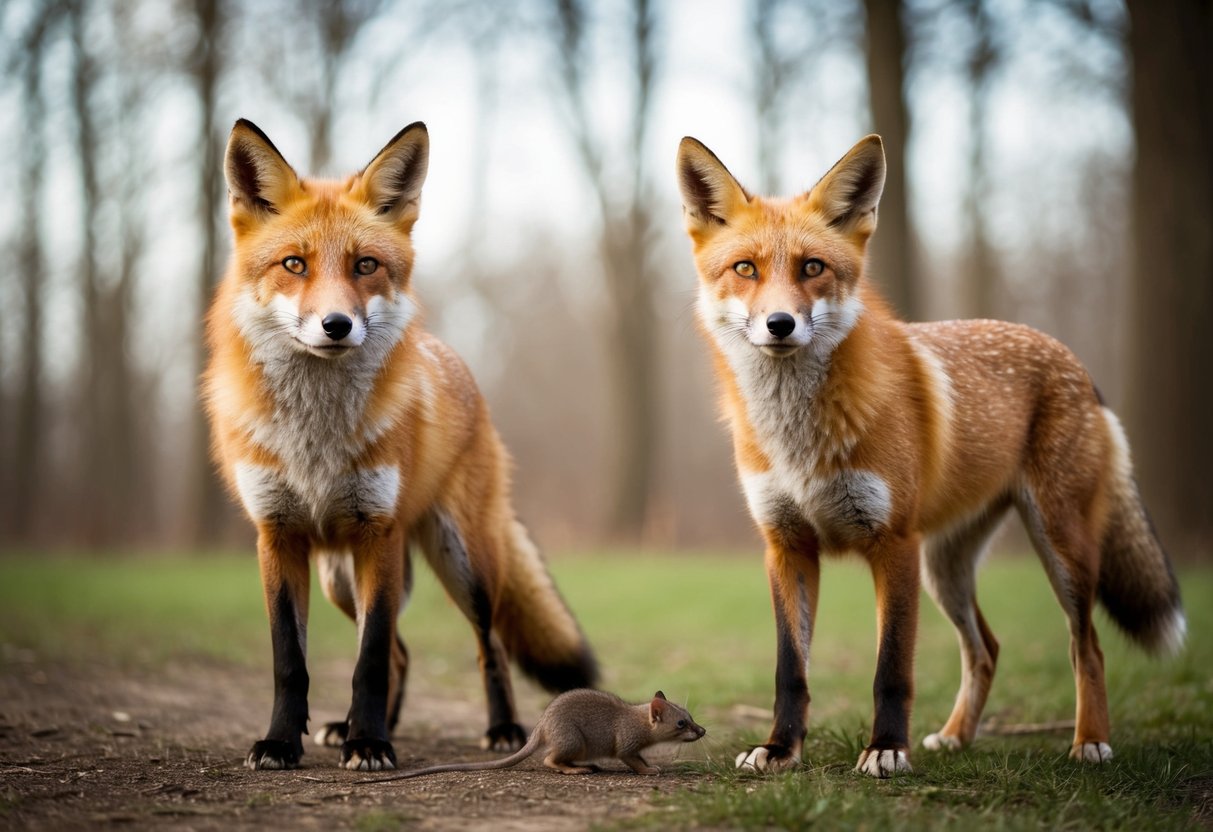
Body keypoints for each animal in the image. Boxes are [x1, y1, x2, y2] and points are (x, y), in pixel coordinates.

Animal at [203, 119, 598, 772]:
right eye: (294, 264)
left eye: (366, 265)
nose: (337, 325)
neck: (317, 437)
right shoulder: (277, 535)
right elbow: (293, 662)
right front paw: (284, 742)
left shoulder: (377, 531)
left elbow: (367, 661)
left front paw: (369, 744)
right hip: (340, 578)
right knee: (401, 653)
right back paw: (356, 726)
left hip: (464, 563)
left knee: (486, 646)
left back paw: (503, 729)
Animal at [675, 133, 1185, 777]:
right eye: (746, 269)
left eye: (812, 267)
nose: (780, 323)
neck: (800, 441)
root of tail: (1070, 358)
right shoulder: (786, 546)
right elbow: (791, 670)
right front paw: (779, 749)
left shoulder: (894, 543)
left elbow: (892, 668)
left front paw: (887, 749)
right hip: (947, 568)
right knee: (987, 648)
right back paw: (957, 736)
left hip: (1058, 547)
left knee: (1086, 645)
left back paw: (1089, 742)